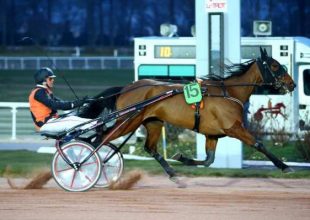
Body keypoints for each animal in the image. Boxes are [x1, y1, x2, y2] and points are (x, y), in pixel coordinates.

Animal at [78, 48, 296, 180]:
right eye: (275, 66)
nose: (292, 84)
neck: (229, 92)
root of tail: (126, 88)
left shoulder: (212, 134)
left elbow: (209, 160)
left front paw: (182, 157)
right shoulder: (233, 128)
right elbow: (259, 144)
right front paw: (285, 166)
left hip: (153, 122)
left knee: (149, 147)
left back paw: (172, 173)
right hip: (128, 121)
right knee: (100, 139)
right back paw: (82, 165)